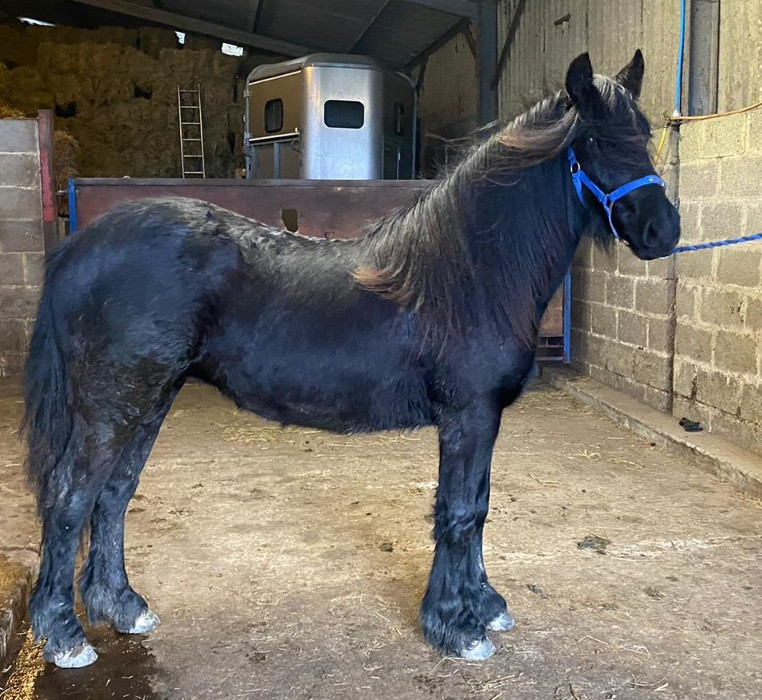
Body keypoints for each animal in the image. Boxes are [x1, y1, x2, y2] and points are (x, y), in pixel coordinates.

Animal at [23, 53, 676, 668]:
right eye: (594, 142)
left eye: (644, 134)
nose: (663, 231)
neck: (470, 272)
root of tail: (80, 245)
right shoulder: (468, 416)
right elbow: (460, 512)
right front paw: (456, 627)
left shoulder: (483, 419)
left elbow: (480, 508)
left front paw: (484, 605)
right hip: (113, 405)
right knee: (70, 498)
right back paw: (64, 635)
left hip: (150, 398)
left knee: (114, 495)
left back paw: (122, 607)